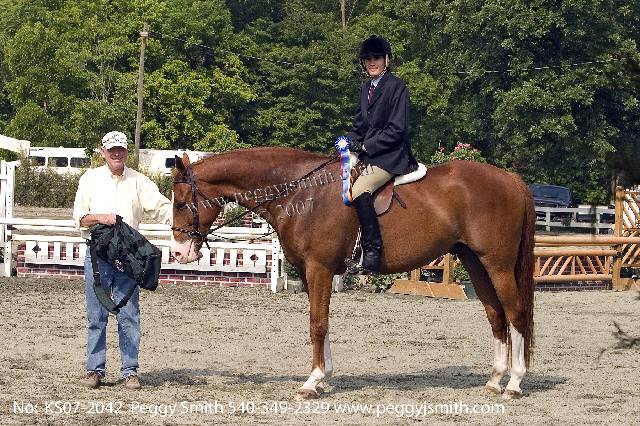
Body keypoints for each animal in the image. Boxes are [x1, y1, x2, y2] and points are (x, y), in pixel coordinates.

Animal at [170, 147, 535, 400]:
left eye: (180, 202)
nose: (179, 252)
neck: (302, 193)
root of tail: (511, 178)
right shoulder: (309, 272)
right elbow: (322, 322)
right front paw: (324, 377)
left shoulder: (319, 269)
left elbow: (317, 324)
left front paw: (312, 381)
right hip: (474, 263)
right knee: (495, 315)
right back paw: (494, 380)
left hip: (497, 265)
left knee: (515, 314)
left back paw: (514, 383)